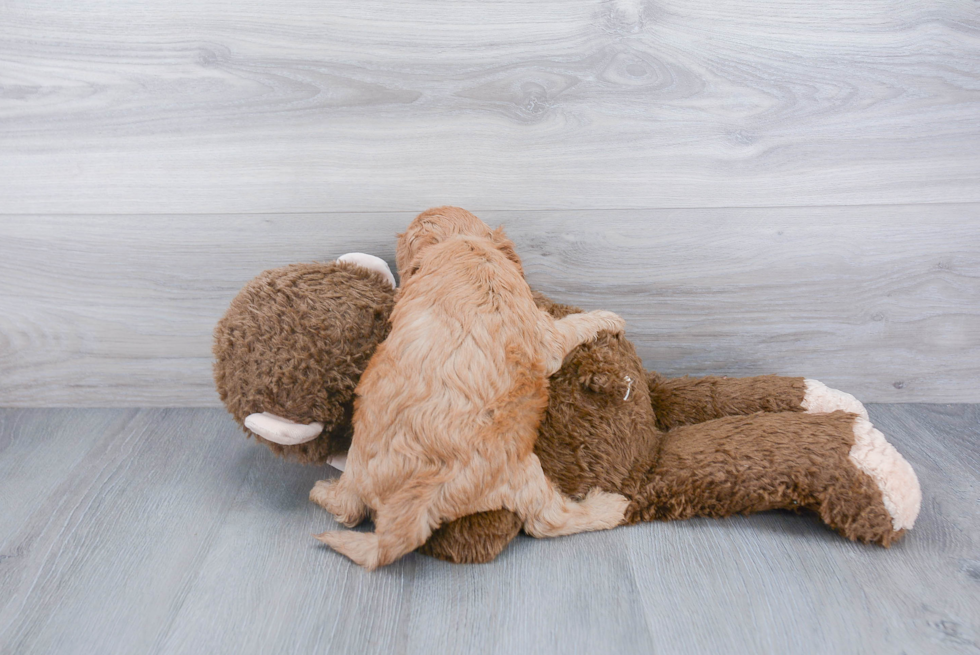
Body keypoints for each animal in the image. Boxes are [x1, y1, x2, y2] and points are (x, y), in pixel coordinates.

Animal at [316, 208, 636, 572]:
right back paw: (609, 507)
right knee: (549, 521)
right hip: (523, 473)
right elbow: (570, 327)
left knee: (348, 509)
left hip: (357, 461)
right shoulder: (544, 335)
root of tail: (409, 508)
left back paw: (323, 492)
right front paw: (606, 318)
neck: (461, 243)